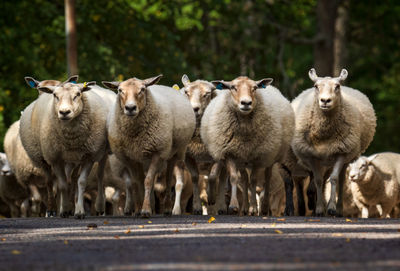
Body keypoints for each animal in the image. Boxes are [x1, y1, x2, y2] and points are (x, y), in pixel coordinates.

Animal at [19, 76, 110, 219]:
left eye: (78, 94)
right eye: (55, 95)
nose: (64, 112)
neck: (71, 139)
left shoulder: (88, 156)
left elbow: (81, 182)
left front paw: (78, 211)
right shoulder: (55, 158)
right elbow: (61, 185)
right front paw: (63, 210)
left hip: (87, 156)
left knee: (85, 178)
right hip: (44, 158)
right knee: (50, 182)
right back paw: (53, 209)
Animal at [102, 75, 196, 219]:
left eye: (142, 89)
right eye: (119, 90)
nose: (130, 108)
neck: (135, 136)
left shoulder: (157, 153)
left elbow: (148, 181)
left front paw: (145, 210)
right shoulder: (130, 158)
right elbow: (136, 182)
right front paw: (138, 209)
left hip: (176, 152)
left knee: (170, 178)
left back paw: (167, 208)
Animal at [202, 76, 296, 215]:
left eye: (255, 88)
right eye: (233, 87)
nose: (246, 103)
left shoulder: (258, 156)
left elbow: (254, 180)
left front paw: (254, 208)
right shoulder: (230, 153)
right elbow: (234, 178)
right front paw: (234, 206)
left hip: (271, 155)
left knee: (267, 178)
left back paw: (263, 207)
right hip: (242, 160)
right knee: (245, 179)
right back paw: (245, 207)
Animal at [290, 69, 376, 218]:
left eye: (337, 86)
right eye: (316, 86)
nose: (325, 100)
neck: (325, 133)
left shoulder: (341, 152)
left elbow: (334, 179)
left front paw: (331, 208)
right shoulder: (311, 156)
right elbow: (318, 180)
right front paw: (319, 209)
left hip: (345, 157)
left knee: (341, 180)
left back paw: (339, 209)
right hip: (323, 160)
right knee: (321, 180)